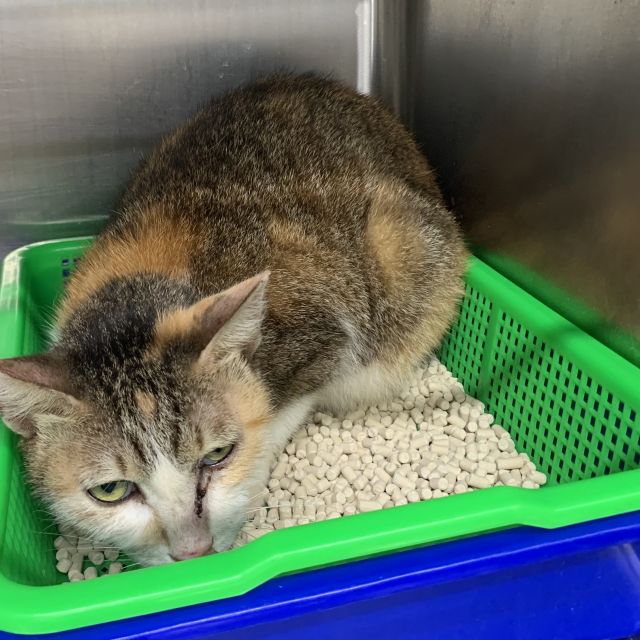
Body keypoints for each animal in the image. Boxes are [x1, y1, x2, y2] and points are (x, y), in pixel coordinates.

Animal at [0, 73, 466, 566]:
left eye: (217, 455)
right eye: (110, 491)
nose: (194, 551)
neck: (134, 298)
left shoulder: (324, 338)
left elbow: (281, 411)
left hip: (403, 242)